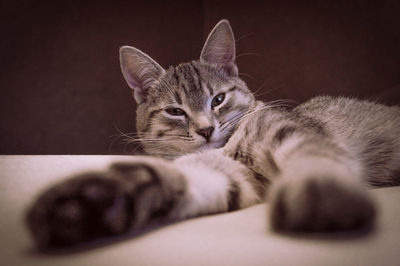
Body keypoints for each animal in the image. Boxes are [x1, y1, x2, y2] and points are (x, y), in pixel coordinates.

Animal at [26, 19, 398, 250]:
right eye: (176, 111)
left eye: (217, 99)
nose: (206, 129)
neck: (231, 146)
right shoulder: (235, 175)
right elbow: (184, 179)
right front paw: (93, 202)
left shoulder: (288, 130)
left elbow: (313, 153)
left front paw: (323, 191)